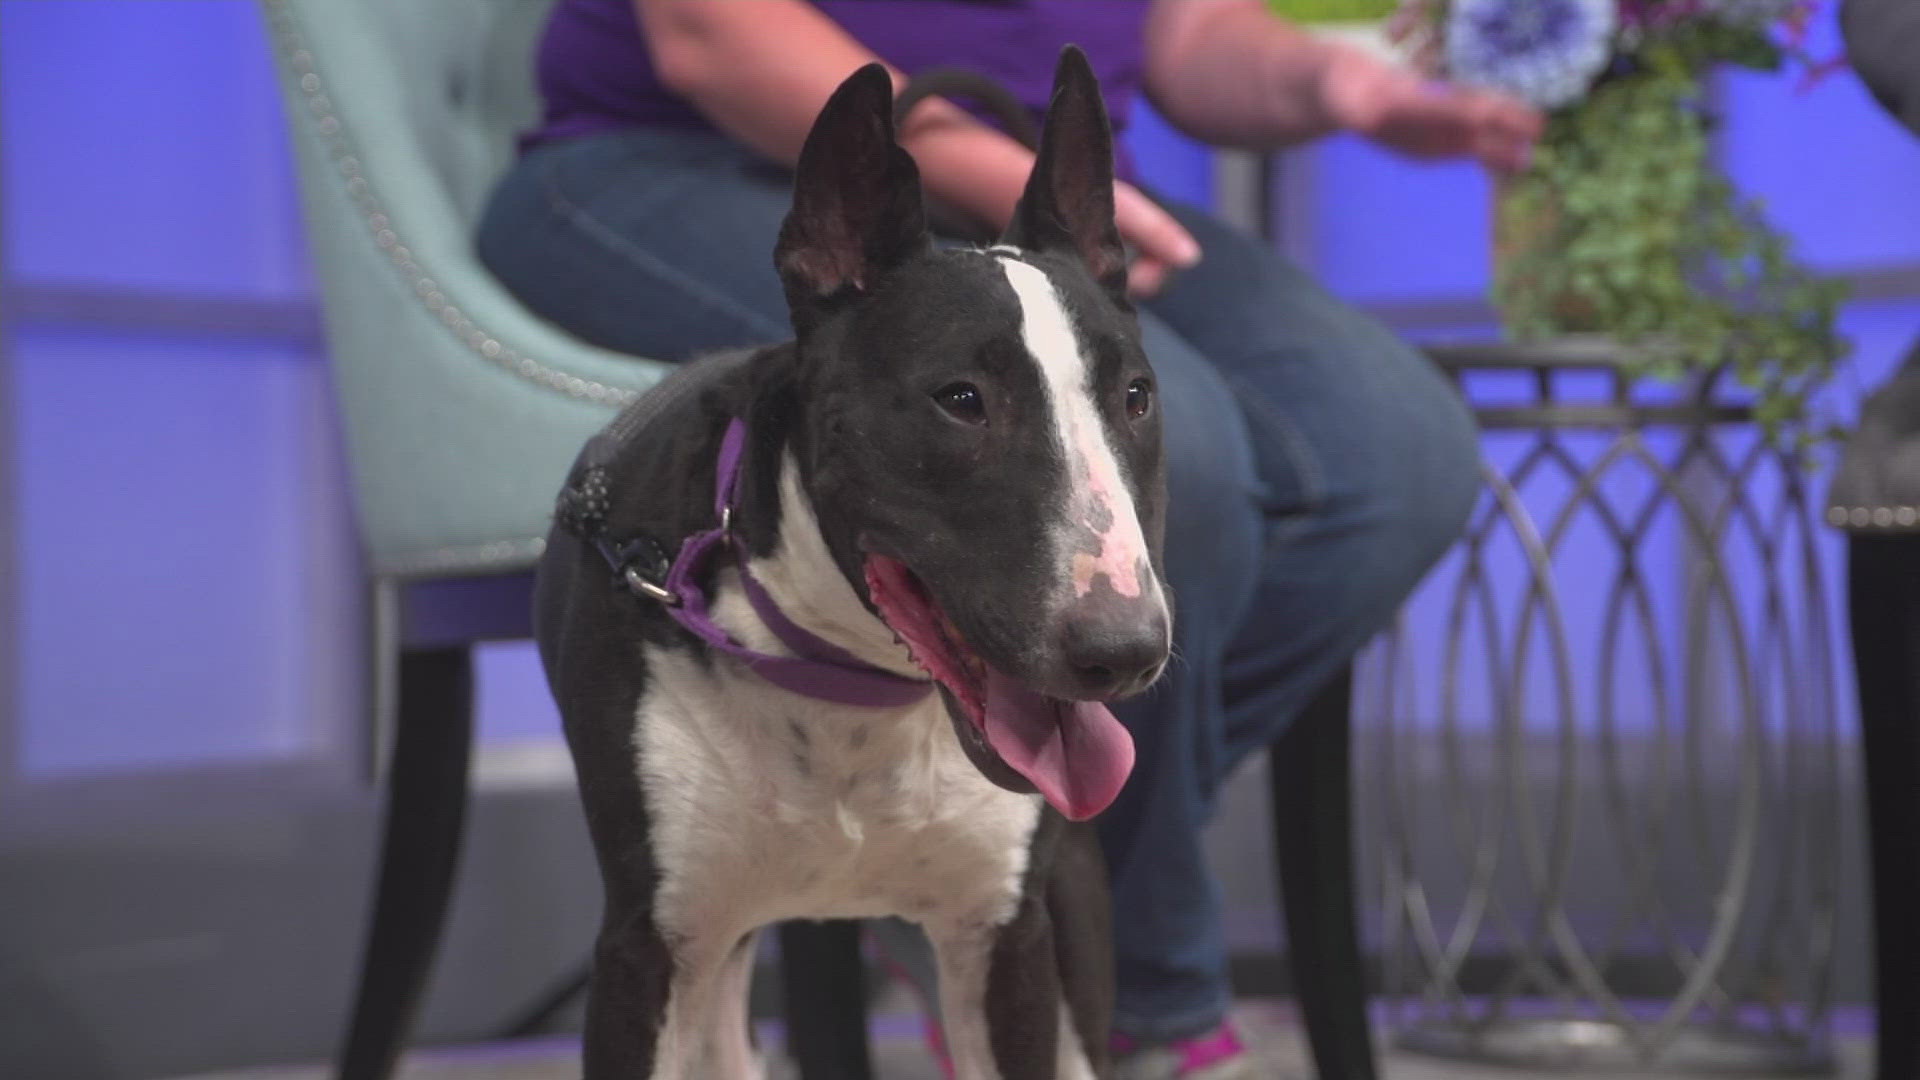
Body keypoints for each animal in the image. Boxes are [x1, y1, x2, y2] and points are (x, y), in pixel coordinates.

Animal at [537, 46, 1167, 1068]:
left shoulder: (1009, 944)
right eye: (961, 399)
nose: (1125, 652)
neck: (852, 688)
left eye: (1137, 397)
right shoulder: (646, 948)